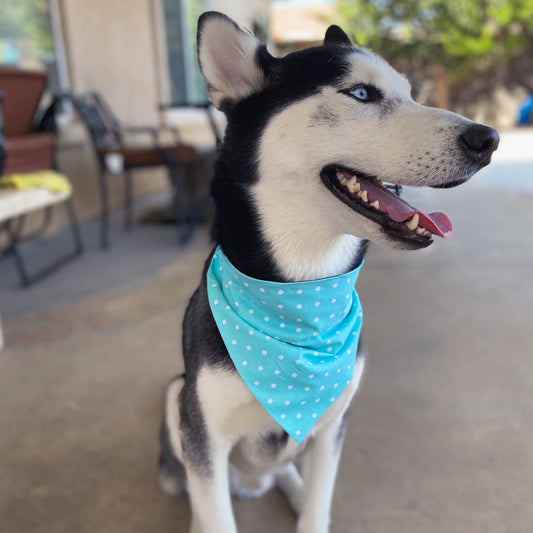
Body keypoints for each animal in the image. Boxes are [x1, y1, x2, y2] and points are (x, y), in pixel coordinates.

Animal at [158, 12, 498, 532]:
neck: (302, 290)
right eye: (360, 93)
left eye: (410, 94)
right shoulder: (203, 436)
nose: (489, 140)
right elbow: (215, 512)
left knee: (284, 474)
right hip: (176, 396)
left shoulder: (333, 424)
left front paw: (309, 504)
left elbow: (319, 504)